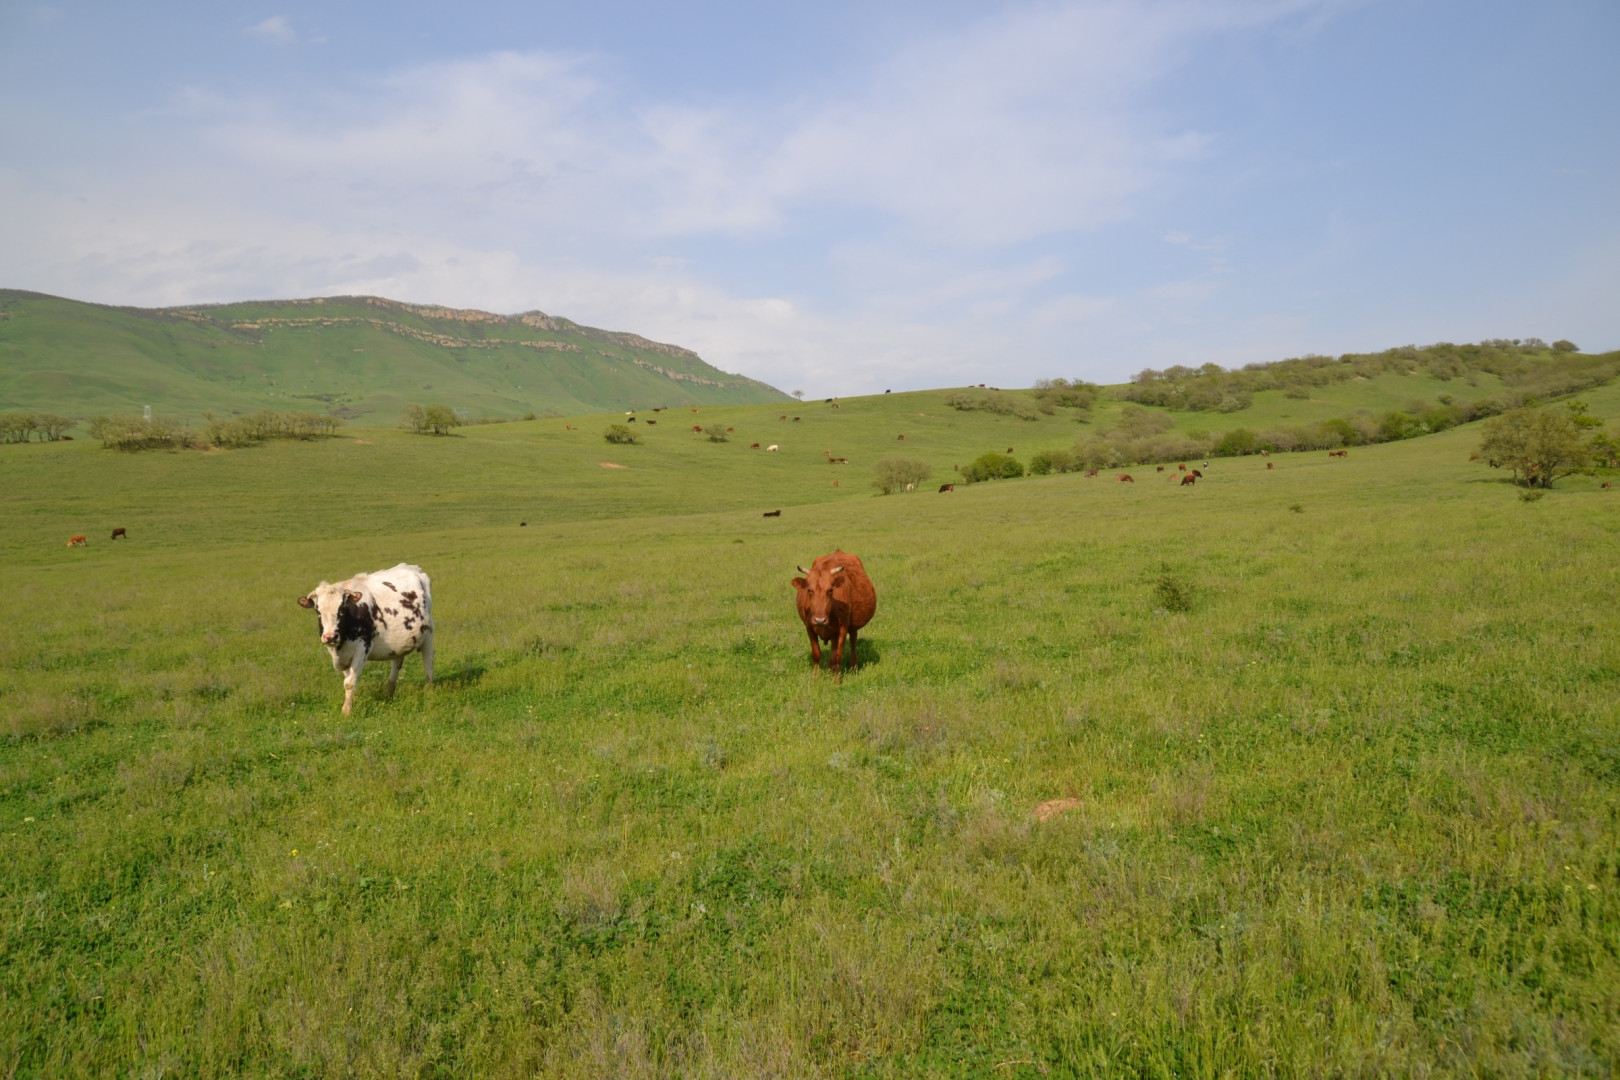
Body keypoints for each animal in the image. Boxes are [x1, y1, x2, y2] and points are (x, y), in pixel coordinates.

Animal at [299, 563, 437, 712]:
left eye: (341, 609)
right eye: (318, 610)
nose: (330, 637)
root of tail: (413, 568)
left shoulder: (362, 648)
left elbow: (349, 682)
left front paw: (346, 710)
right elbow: (348, 679)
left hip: (429, 633)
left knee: (428, 661)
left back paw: (429, 690)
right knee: (396, 664)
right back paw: (388, 693)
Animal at [793, 550, 881, 683]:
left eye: (830, 590)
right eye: (809, 590)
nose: (820, 620)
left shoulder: (843, 627)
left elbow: (838, 654)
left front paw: (837, 680)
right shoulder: (809, 627)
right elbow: (816, 653)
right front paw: (815, 678)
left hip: (852, 626)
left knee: (852, 642)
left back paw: (853, 666)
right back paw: (829, 669)